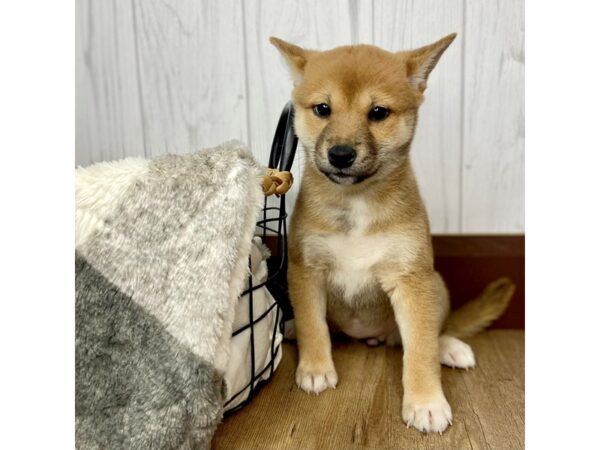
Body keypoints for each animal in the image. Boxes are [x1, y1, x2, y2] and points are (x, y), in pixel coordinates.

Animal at [272, 33, 516, 434]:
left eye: (378, 113)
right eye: (322, 109)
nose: (341, 154)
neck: (356, 202)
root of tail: (367, 336)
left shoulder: (411, 279)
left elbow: (420, 350)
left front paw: (426, 402)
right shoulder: (305, 270)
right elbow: (313, 326)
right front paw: (316, 367)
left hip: (435, 285)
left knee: (432, 331)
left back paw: (450, 346)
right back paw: (291, 329)